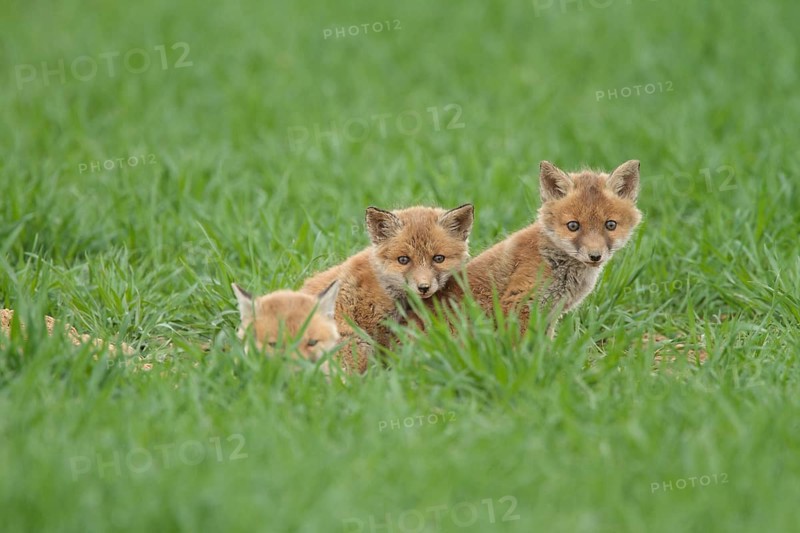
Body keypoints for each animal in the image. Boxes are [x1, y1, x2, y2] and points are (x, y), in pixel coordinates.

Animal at [424, 160, 642, 336]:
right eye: (573, 226)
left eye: (610, 225)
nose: (595, 256)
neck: (553, 261)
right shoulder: (518, 303)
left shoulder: (550, 314)